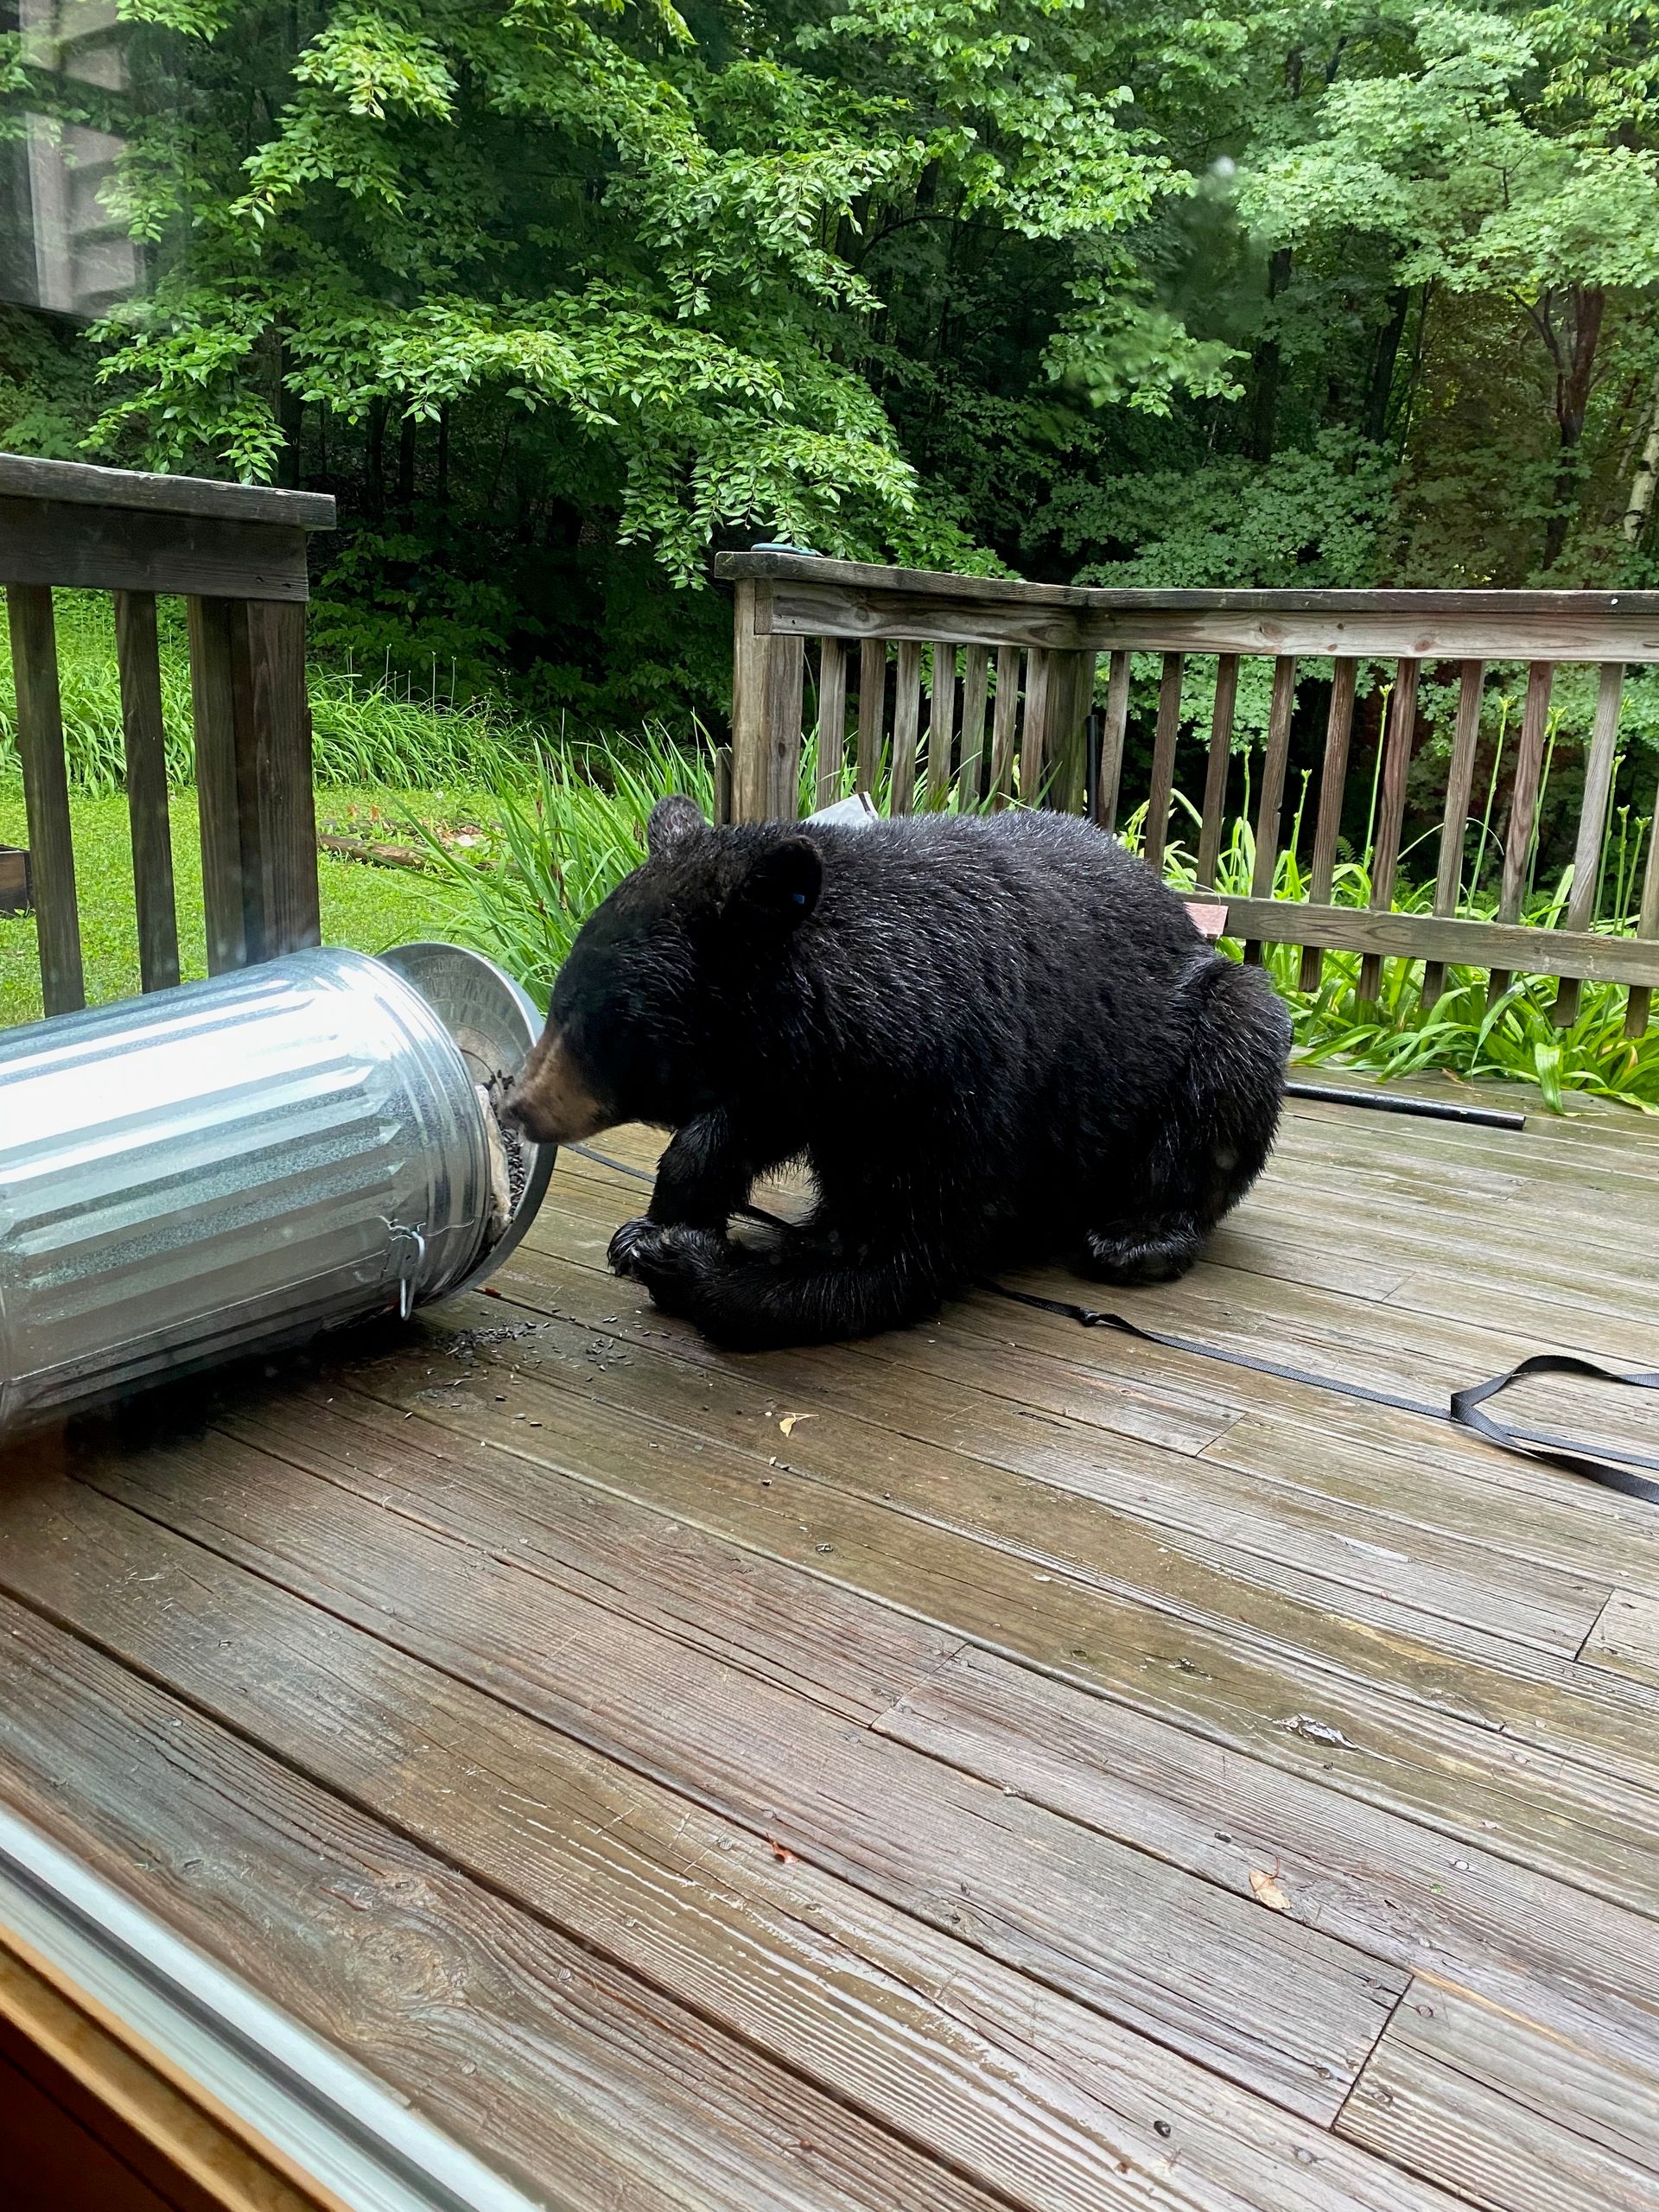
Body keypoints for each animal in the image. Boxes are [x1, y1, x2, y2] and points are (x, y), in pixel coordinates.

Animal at [501, 797, 1290, 1352]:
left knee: (1228, 1070)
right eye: (561, 995)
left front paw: (693, 1262)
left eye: (604, 1024)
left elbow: (904, 1252)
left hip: (1212, 1018)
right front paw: (656, 1221)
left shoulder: (963, 1090)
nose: (517, 1106)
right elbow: (743, 1124)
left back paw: (1138, 1238)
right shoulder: (807, 1075)